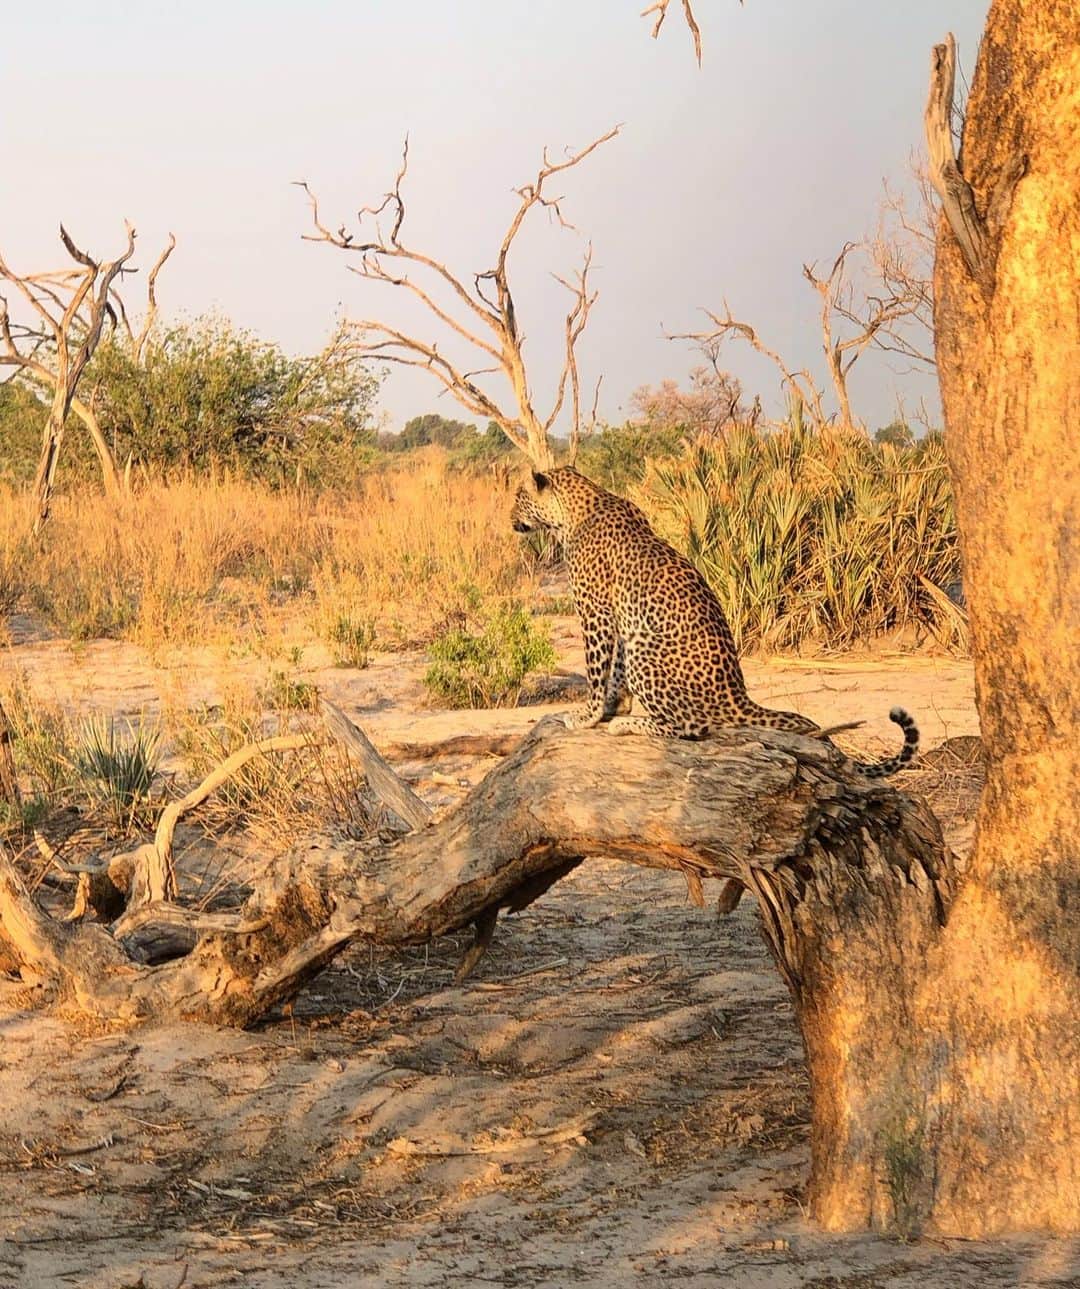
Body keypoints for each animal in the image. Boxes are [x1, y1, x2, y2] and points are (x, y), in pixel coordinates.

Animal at [510, 465, 919, 778]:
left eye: (517, 497)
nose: (511, 519)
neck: (571, 512)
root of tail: (739, 697)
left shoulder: (594, 610)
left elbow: (597, 668)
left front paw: (589, 715)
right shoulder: (623, 618)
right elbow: (615, 669)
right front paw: (615, 706)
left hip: (648, 653)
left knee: (687, 728)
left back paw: (628, 726)